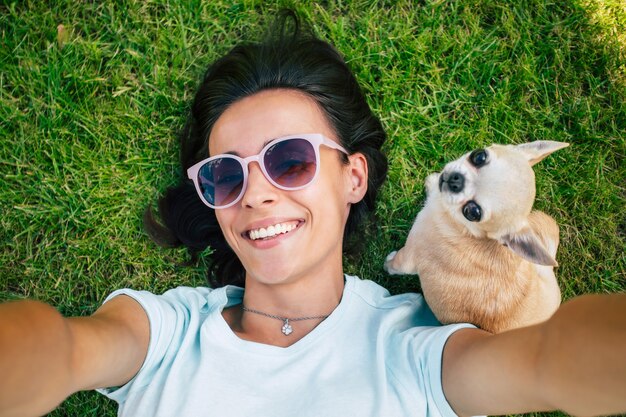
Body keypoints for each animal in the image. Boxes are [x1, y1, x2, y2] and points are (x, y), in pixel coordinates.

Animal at [382, 141, 568, 334]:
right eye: (479, 156)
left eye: (473, 212)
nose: (456, 180)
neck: (466, 229)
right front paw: (433, 182)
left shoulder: (410, 255)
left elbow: (396, 264)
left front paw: (387, 264)